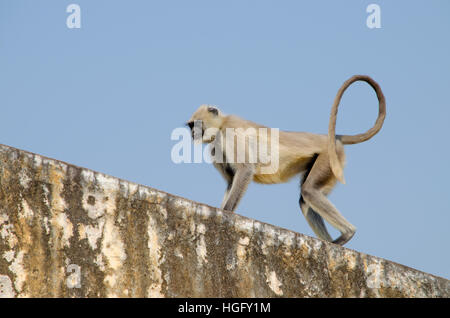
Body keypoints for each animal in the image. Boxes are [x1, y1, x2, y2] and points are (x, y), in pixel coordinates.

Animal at [186, 75, 386, 246]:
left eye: (195, 125)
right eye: (190, 126)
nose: (193, 133)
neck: (221, 125)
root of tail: (330, 138)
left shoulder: (230, 131)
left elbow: (245, 169)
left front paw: (226, 214)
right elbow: (230, 179)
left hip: (329, 158)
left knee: (308, 191)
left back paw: (347, 234)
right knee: (305, 198)